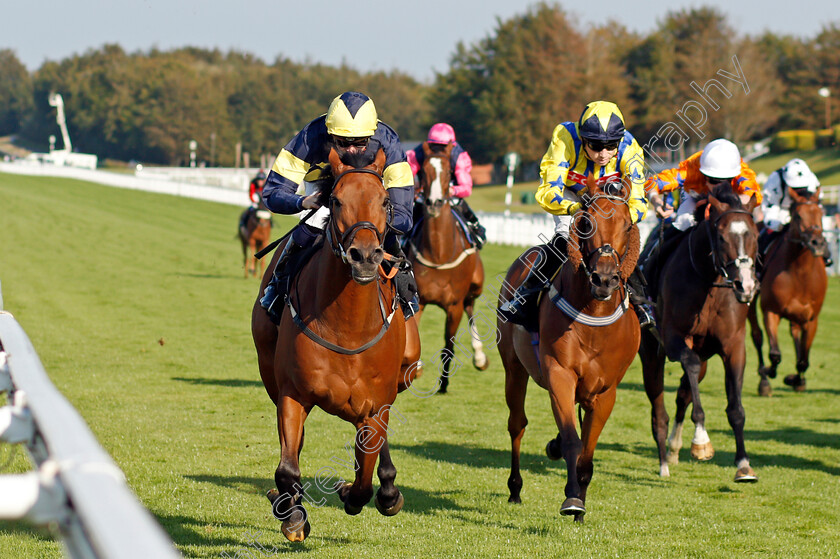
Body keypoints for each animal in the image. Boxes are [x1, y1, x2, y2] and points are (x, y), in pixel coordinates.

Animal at [249, 148, 420, 544]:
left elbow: (363, 478)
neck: (348, 327)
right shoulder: (292, 393)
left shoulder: (374, 405)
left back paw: (389, 491)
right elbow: (288, 466)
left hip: (406, 369)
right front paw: (293, 514)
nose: (366, 256)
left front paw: (355, 491)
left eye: (385, 200)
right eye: (337, 200)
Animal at [406, 140, 486, 394]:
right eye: (423, 171)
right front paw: (417, 369)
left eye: (450, 172)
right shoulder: (418, 300)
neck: (439, 254)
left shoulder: (454, 305)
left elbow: (448, 347)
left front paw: (443, 383)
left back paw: (479, 357)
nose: (434, 203)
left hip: (475, 286)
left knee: (471, 306)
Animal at [496, 177, 640, 524]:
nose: (604, 279)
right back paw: (515, 488)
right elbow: (574, 443)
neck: (595, 317)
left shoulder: (606, 391)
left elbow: (587, 452)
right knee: (517, 424)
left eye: (628, 225)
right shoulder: (560, 374)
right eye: (586, 222)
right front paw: (572, 499)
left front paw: (580, 505)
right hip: (514, 367)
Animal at [640, 186, 764, 484]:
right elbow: (691, 367)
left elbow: (736, 409)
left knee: (683, 392)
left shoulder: (734, 346)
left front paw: (743, 464)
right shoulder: (674, 339)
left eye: (755, 235)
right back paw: (664, 461)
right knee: (659, 408)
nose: (746, 285)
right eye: (721, 236)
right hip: (650, 352)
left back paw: (673, 448)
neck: (709, 283)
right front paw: (701, 440)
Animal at [748, 186, 828, 396]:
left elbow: (803, 360)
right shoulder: (771, 311)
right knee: (757, 336)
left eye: (820, 213)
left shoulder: (811, 319)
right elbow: (775, 354)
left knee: (795, 335)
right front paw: (768, 373)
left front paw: (796, 380)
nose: (817, 243)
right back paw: (764, 379)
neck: (800, 273)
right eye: (798, 216)